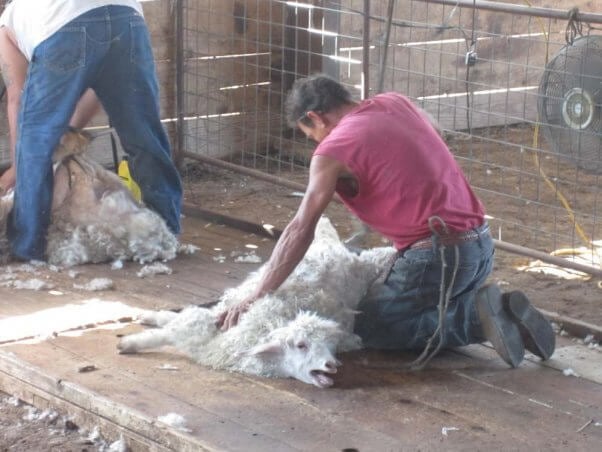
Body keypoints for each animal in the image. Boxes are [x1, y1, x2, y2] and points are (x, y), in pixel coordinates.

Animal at [119, 217, 396, 386]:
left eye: (332, 346)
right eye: (301, 345)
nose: (331, 364)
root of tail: (330, 246)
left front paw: (131, 341)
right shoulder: (216, 325)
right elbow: (170, 330)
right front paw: (131, 343)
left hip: (363, 267)